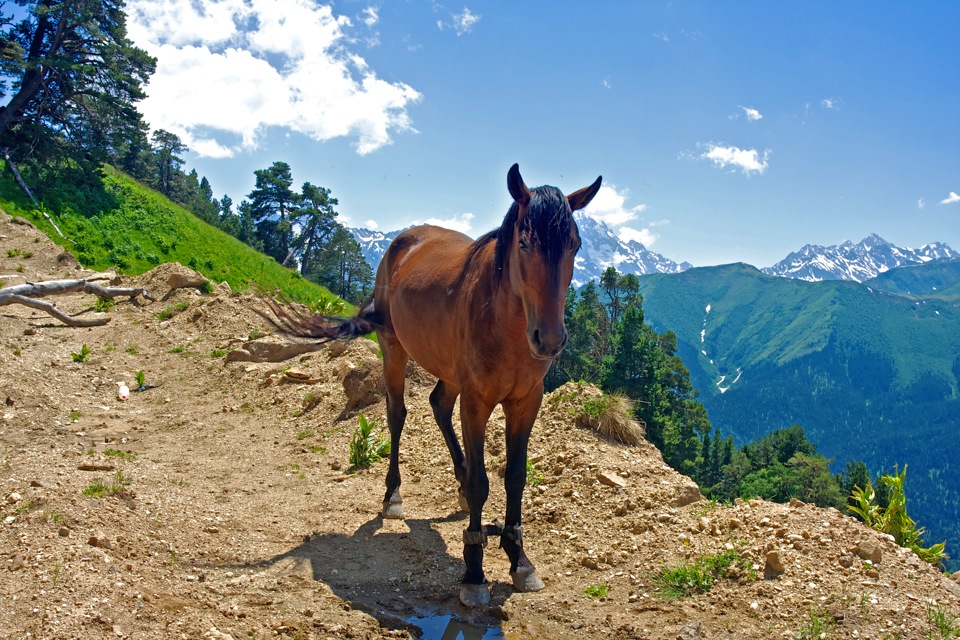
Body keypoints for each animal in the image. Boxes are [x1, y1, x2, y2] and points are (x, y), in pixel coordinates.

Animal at [260, 164, 600, 604]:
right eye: (525, 242)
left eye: (574, 245)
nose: (550, 339)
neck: (506, 325)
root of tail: (403, 241)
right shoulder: (477, 400)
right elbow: (481, 481)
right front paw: (474, 570)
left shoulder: (526, 401)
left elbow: (515, 477)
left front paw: (519, 559)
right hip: (394, 349)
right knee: (397, 414)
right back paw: (393, 496)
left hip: (451, 373)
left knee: (438, 403)